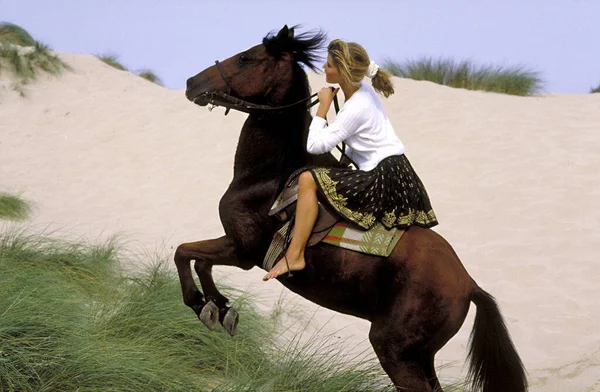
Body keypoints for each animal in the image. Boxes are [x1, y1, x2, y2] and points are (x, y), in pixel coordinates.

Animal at [176, 26, 528, 390]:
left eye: (246, 58)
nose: (191, 83)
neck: (270, 173)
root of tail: (469, 284)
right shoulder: (234, 246)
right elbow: (196, 259)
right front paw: (218, 307)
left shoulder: (243, 250)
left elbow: (185, 252)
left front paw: (201, 304)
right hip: (421, 357)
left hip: (395, 351)